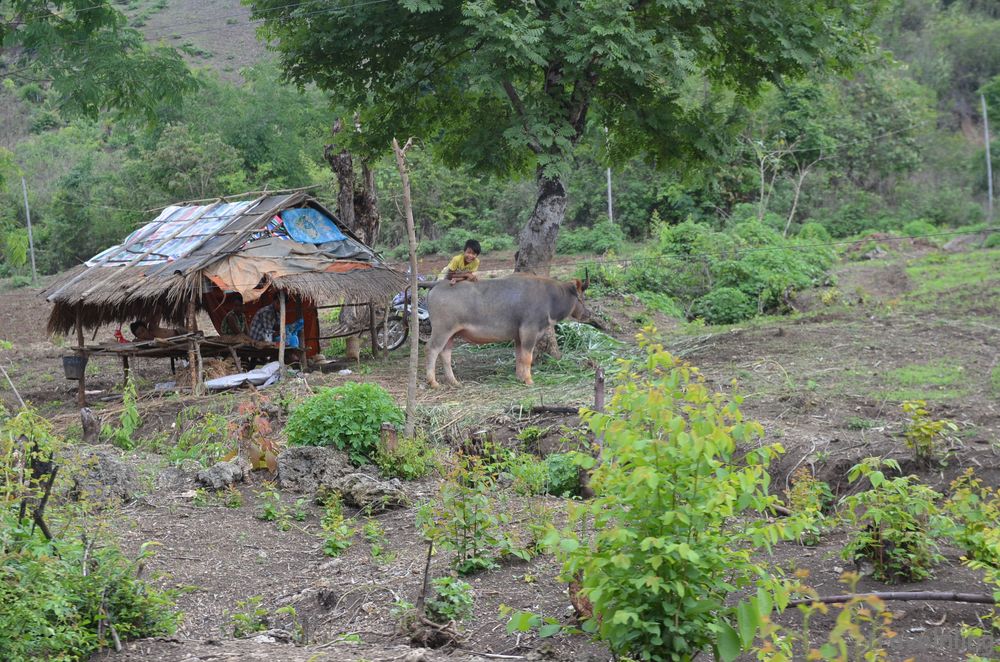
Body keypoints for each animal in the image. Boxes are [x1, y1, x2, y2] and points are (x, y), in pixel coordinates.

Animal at [426, 274, 588, 390]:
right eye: (582, 298)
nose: (588, 314)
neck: (549, 297)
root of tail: (437, 285)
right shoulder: (529, 331)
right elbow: (527, 358)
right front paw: (529, 380)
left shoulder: (518, 337)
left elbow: (519, 357)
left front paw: (520, 377)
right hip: (442, 330)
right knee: (432, 350)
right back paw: (433, 382)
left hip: (451, 334)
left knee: (445, 354)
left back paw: (454, 381)